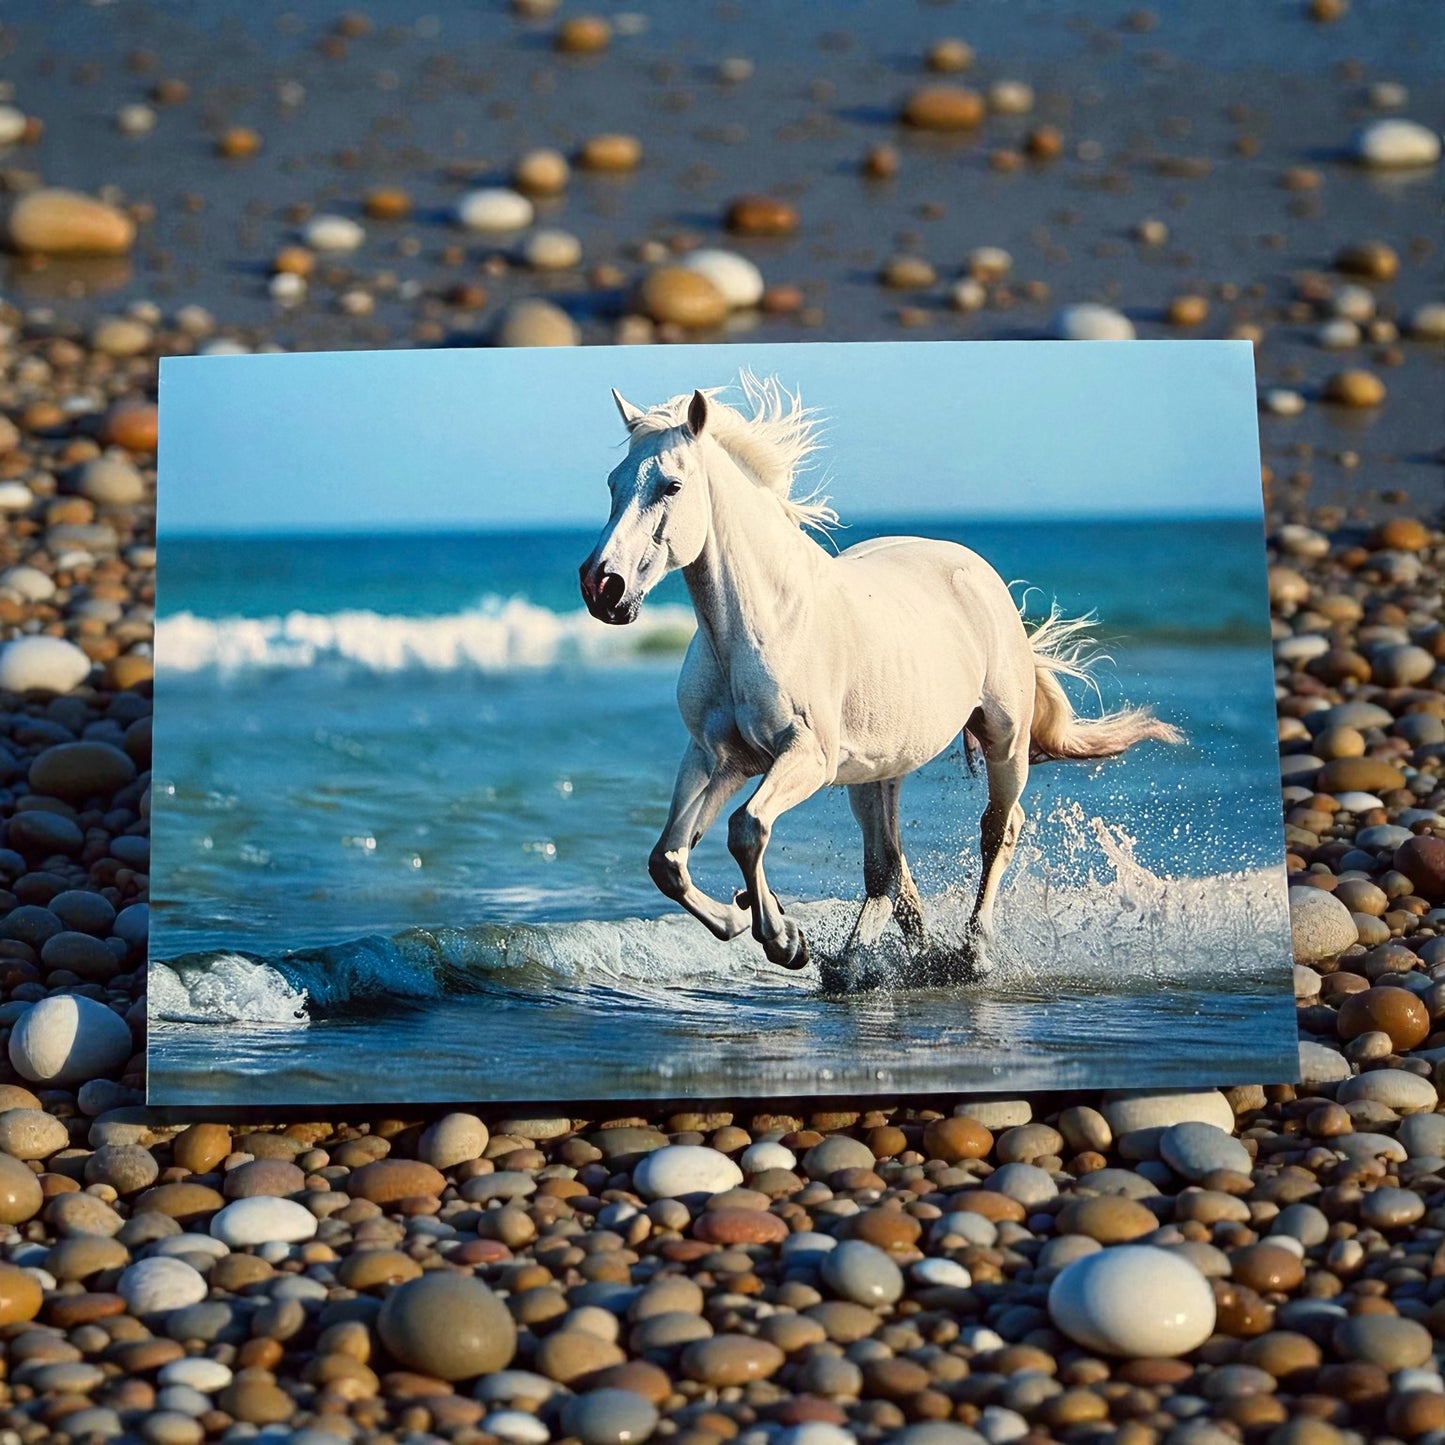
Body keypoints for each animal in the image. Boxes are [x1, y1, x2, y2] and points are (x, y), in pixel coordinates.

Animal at [578, 373, 1184, 979]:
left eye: (671, 485)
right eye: (613, 483)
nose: (602, 587)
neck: (764, 624)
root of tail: (984, 579)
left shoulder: (806, 757)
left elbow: (746, 830)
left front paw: (782, 939)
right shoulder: (718, 756)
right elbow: (669, 859)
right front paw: (747, 919)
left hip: (1003, 741)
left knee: (998, 829)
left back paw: (969, 952)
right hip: (878, 769)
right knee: (887, 868)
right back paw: (868, 963)